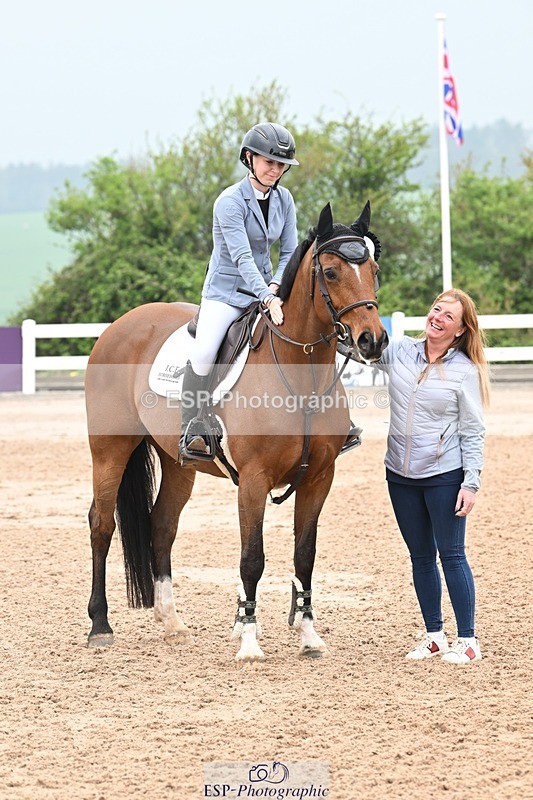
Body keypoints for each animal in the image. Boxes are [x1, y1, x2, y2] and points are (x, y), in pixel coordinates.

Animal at [85, 201, 389, 661]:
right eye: (332, 272)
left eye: (373, 268)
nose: (372, 341)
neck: (300, 374)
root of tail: (119, 325)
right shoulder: (254, 480)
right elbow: (252, 559)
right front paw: (248, 640)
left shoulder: (320, 477)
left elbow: (305, 555)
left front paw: (308, 635)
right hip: (109, 450)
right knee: (102, 524)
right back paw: (100, 626)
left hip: (178, 462)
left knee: (161, 526)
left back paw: (172, 623)